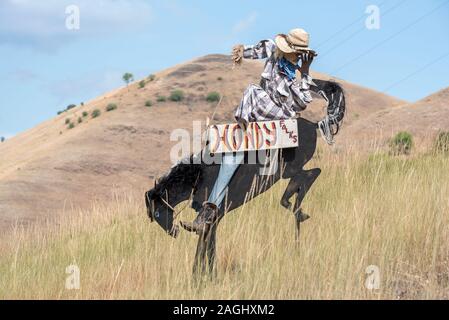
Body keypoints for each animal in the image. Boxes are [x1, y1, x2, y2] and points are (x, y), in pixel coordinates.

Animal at [145, 79, 344, 276]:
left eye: (157, 213)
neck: (199, 178)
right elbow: (207, 247)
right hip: (289, 170)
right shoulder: (214, 221)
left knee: (311, 173)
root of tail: (312, 124)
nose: (173, 232)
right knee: (309, 176)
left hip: (290, 168)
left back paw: (293, 204)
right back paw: (296, 208)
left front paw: (203, 275)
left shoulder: (213, 219)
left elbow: (206, 248)